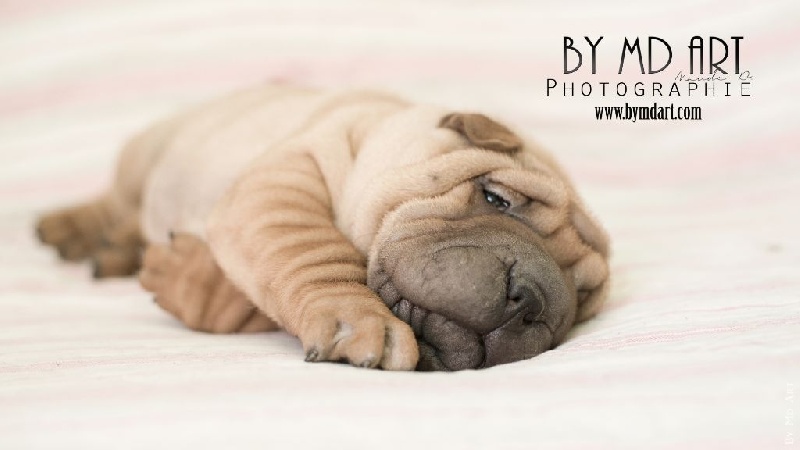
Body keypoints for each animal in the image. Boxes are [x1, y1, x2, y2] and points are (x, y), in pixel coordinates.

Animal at [36, 84, 610, 371]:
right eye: (495, 198)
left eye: (581, 300)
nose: (533, 299)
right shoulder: (288, 177)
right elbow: (312, 254)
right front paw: (358, 321)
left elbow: (248, 301)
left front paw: (187, 279)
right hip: (146, 155)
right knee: (116, 201)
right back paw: (77, 229)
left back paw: (118, 249)